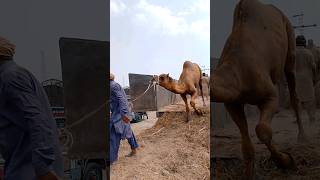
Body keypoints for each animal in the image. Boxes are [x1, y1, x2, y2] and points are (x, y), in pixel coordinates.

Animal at [210, 0, 304, 179]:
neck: (236, 76)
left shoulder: (270, 96)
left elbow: (263, 130)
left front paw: (286, 161)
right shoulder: (233, 104)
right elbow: (246, 146)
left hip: (290, 41)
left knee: (293, 91)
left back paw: (302, 137)